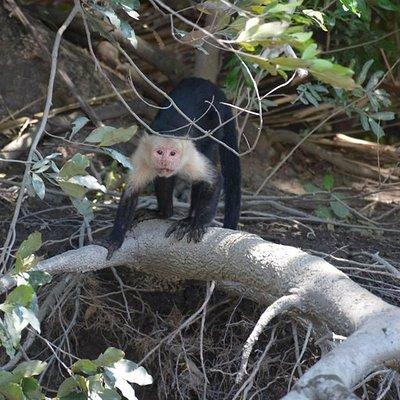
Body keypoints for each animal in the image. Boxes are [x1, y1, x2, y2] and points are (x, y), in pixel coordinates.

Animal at [101, 78, 242, 260]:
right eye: (160, 152)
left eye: (173, 153)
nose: (165, 161)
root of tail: (213, 87)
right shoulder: (142, 157)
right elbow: (131, 193)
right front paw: (115, 239)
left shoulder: (189, 156)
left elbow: (215, 179)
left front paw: (198, 224)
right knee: (164, 179)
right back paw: (164, 213)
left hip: (215, 122)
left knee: (203, 170)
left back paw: (189, 220)